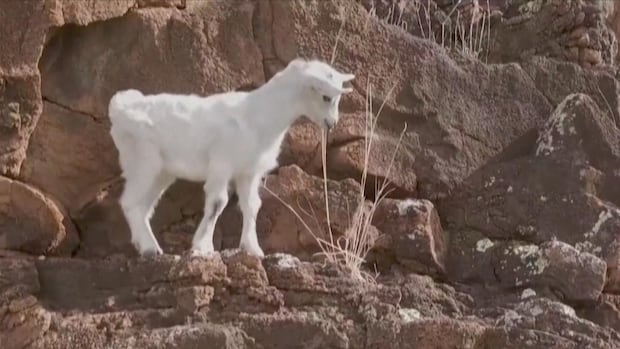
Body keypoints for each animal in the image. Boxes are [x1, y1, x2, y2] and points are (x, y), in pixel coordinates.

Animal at [108, 58, 354, 256]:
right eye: (326, 97)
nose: (332, 123)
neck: (258, 115)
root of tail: (120, 109)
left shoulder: (249, 172)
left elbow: (252, 205)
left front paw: (253, 249)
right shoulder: (221, 164)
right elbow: (218, 202)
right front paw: (202, 247)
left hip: (162, 172)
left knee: (143, 207)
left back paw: (146, 244)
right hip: (143, 162)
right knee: (130, 202)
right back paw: (149, 249)